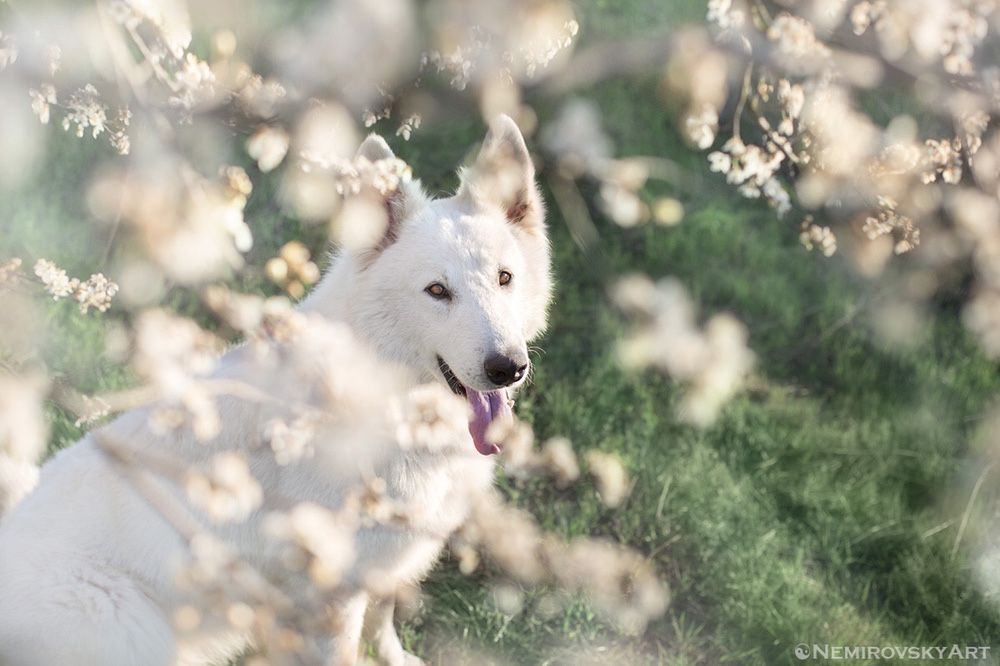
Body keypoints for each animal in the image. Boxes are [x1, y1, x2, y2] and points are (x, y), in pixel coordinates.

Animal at [0, 115, 552, 664]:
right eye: (437, 291)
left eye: (505, 278)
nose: (508, 368)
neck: (386, 397)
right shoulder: (330, 597)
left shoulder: (381, 568)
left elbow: (384, 620)